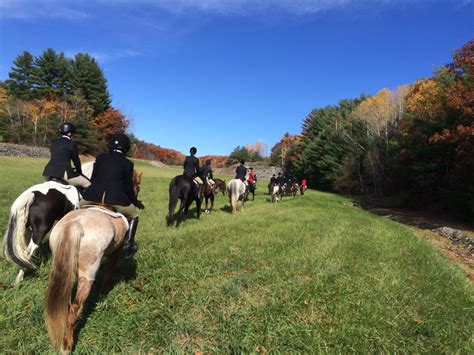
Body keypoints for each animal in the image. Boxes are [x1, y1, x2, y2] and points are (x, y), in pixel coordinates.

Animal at [44, 170, 143, 354]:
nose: (138, 202)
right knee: (74, 308)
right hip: (88, 274)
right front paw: (104, 292)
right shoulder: (116, 252)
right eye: (137, 186)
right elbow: (110, 271)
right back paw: (67, 346)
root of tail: (76, 224)